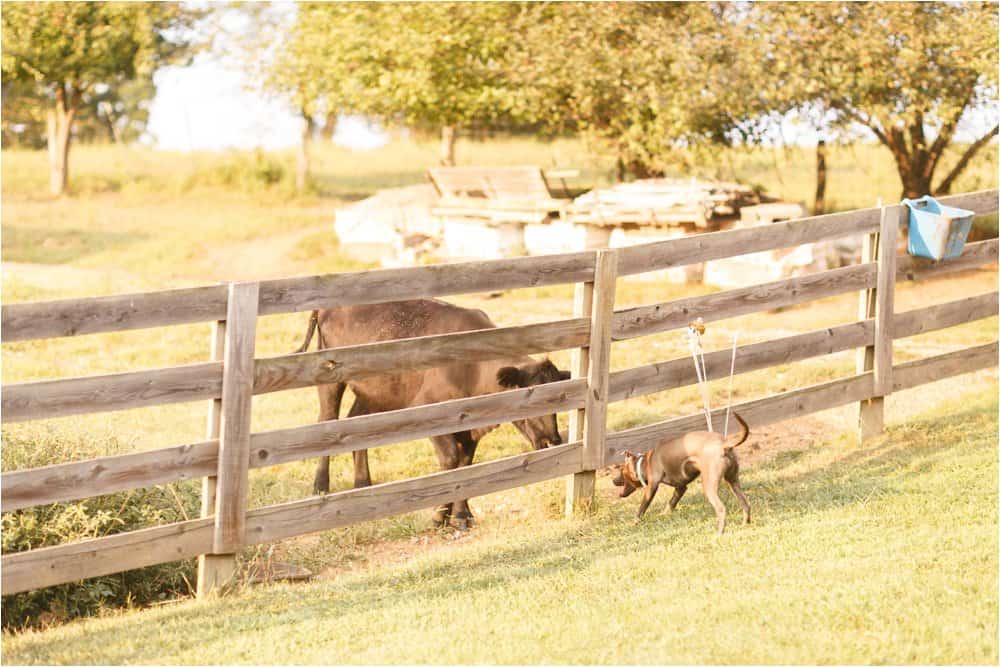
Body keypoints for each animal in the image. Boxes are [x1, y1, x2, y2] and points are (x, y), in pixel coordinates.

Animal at [292, 300, 568, 528]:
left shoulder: (469, 428)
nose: (552, 441)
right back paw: (321, 486)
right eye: (529, 393)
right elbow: (450, 460)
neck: (473, 368)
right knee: (327, 422)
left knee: (357, 426)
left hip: (377, 392)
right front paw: (439, 515)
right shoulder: (431, 411)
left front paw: (461, 515)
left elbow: (465, 464)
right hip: (329, 381)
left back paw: (362, 483)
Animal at [608, 414, 752, 536]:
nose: (613, 481)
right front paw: (664, 514)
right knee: (746, 504)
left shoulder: (652, 487)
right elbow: (671, 502)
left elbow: (643, 506)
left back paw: (719, 534)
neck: (645, 462)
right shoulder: (681, 487)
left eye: (621, 471)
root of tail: (724, 444)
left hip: (709, 486)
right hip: (733, 481)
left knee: (721, 509)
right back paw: (745, 524)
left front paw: (635, 522)